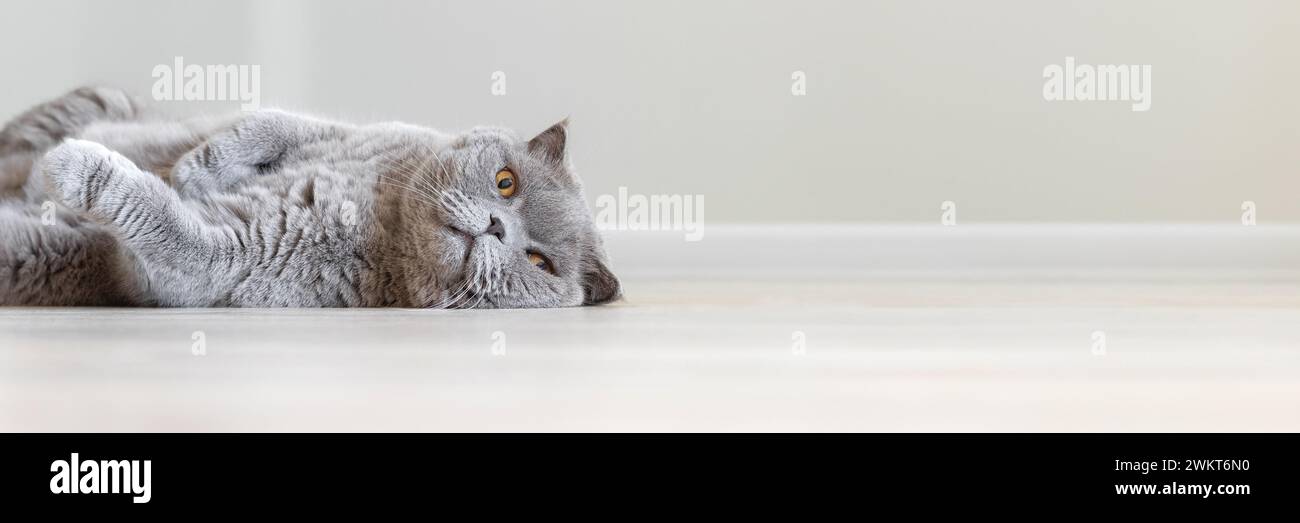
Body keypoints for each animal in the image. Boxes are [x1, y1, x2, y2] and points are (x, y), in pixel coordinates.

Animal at [0, 85, 621, 307]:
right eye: (506, 182)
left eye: (538, 262)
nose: (495, 224)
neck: (384, 213)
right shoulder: (341, 131)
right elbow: (270, 121)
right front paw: (197, 168)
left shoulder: (228, 259)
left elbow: (163, 224)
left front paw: (78, 167)